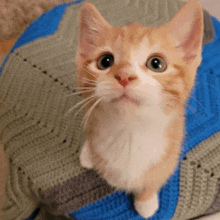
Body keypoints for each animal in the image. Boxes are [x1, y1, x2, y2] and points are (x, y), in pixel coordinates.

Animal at [75, 0, 203, 217]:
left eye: (156, 63)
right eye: (105, 61)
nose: (125, 76)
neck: (130, 134)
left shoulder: (170, 156)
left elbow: (152, 181)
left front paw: (146, 202)